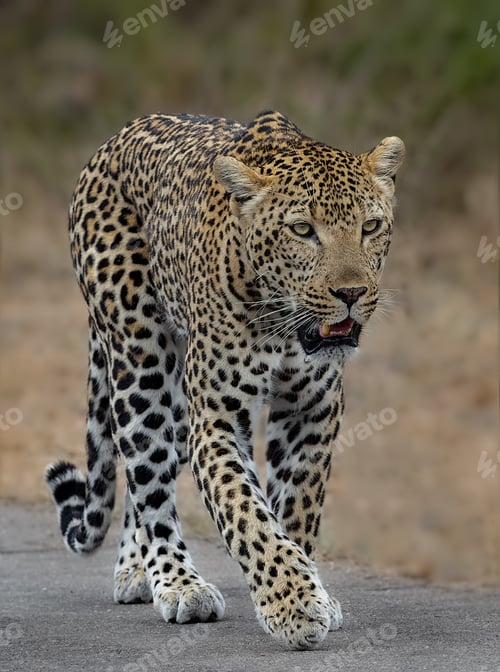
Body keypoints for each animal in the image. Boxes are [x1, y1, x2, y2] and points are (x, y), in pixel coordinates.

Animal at [45, 110, 404, 649]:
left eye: (371, 226)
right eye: (303, 230)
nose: (351, 293)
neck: (285, 327)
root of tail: (118, 136)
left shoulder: (312, 413)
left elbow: (295, 507)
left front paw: (308, 591)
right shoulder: (216, 419)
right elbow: (246, 513)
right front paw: (294, 605)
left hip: (175, 400)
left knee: (141, 471)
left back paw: (137, 569)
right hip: (140, 359)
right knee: (148, 477)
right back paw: (175, 582)